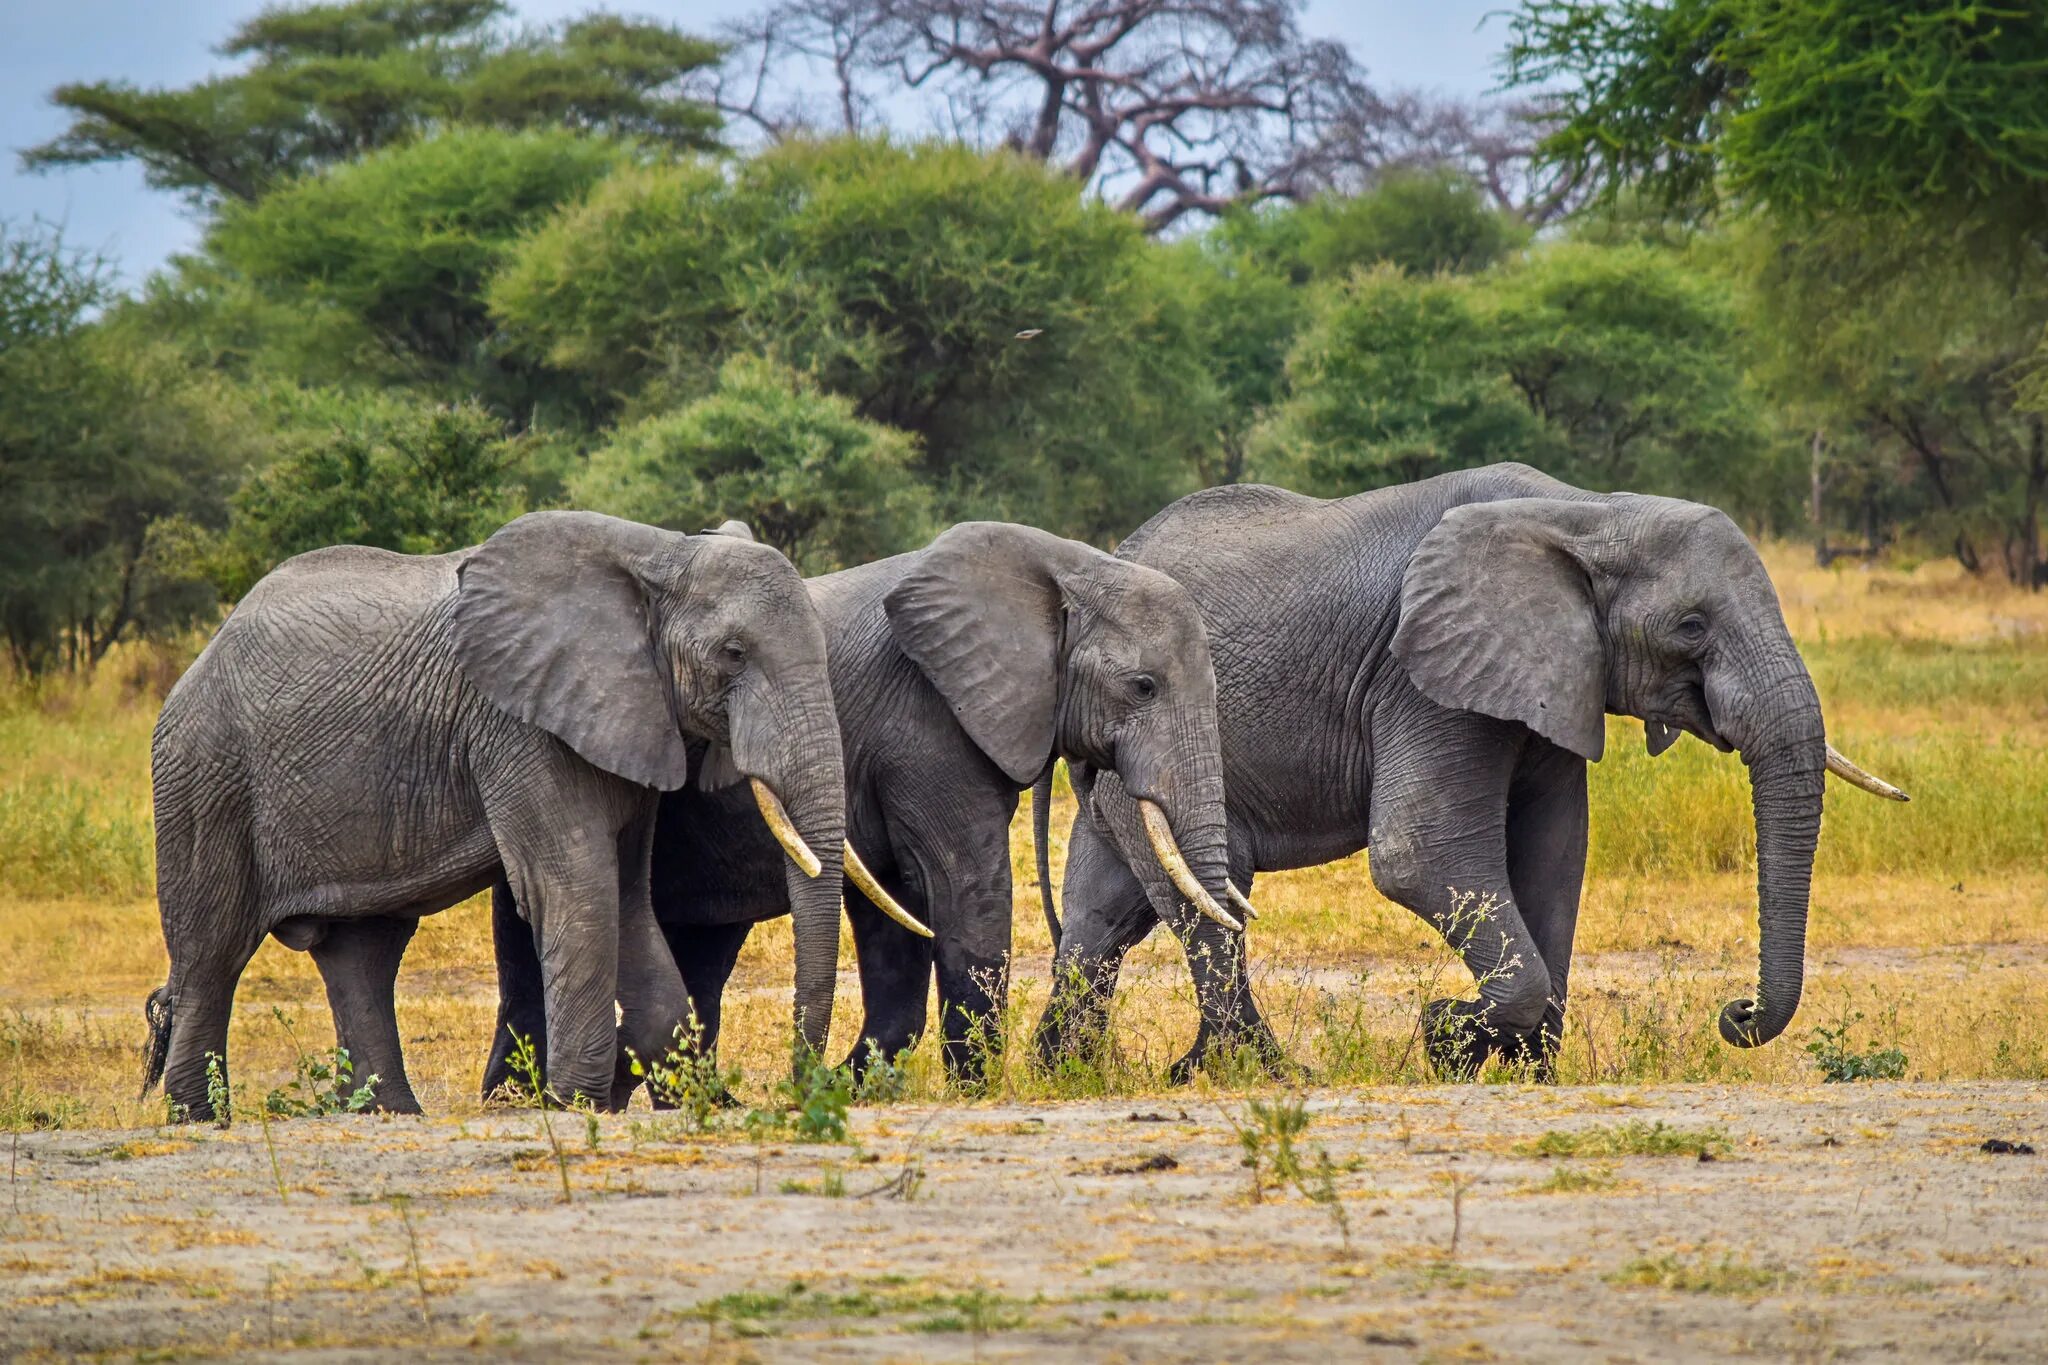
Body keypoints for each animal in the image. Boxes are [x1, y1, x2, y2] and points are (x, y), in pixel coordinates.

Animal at [132, 511, 892, 1121]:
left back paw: (392, 1113)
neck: (657, 556)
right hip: (204, 774)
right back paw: (200, 1117)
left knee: (362, 950)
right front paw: (576, 1102)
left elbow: (625, 897)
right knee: (212, 949)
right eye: (733, 654)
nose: (803, 1084)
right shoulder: (518, 726)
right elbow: (575, 888)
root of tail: (199, 661)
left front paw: (668, 1090)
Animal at [487, 517, 1236, 1096]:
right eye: (1143, 687)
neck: (1069, 564)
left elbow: (897, 914)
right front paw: (973, 1088)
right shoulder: (928, 724)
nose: (800, 1080)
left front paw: (859, 1084)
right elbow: (965, 889)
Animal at [1032, 464, 1908, 1080]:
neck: (1589, 513)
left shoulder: (1552, 677)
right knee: (1203, 907)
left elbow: (1555, 856)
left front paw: (1527, 1069)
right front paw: (1446, 1039)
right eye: (1692, 626)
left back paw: (1070, 1072)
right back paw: (1257, 1072)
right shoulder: (1419, 674)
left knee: (1103, 916)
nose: (1738, 1010)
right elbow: (1419, 852)